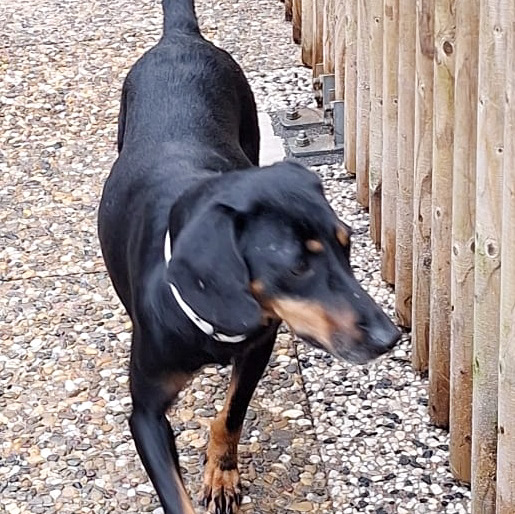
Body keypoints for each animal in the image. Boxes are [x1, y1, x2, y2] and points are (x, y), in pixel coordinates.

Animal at [98, 1, 401, 512]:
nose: (390, 336)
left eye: (346, 245)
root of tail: (181, 37)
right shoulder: (145, 413)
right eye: (296, 265)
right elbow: (174, 491)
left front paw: (221, 475)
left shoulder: (260, 343)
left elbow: (231, 414)